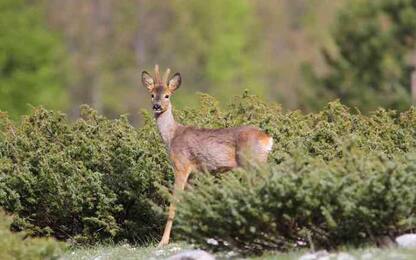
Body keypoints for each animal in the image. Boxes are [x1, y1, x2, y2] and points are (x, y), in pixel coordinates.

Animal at [141, 64, 274, 246]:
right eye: (152, 94)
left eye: (167, 95)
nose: (157, 106)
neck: (171, 137)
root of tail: (267, 138)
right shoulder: (194, 174)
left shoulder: (181, 166)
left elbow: (174, 202)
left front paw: (163, 241)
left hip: (252, 162)